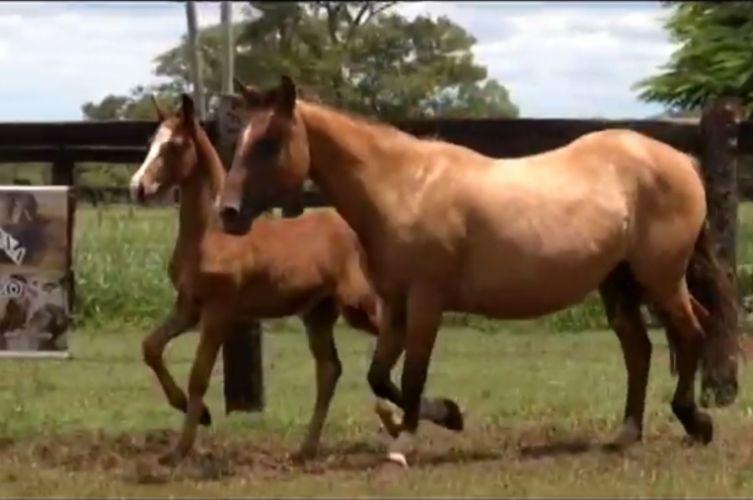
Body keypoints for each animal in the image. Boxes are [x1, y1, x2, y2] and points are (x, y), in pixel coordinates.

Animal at [220, 76, 736, 466]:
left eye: (269, 142)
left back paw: (696, 422)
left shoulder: (426, 300)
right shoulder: (395, 303)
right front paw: (447, 414)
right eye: (239, 140)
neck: (404, 188)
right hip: (619, 282)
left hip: (660, 277)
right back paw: (627, 432)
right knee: (639, 348)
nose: (227, 213)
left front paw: (406, 442)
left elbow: (412, 373)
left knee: (690, 332)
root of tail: (681, 160)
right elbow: (379, 376)